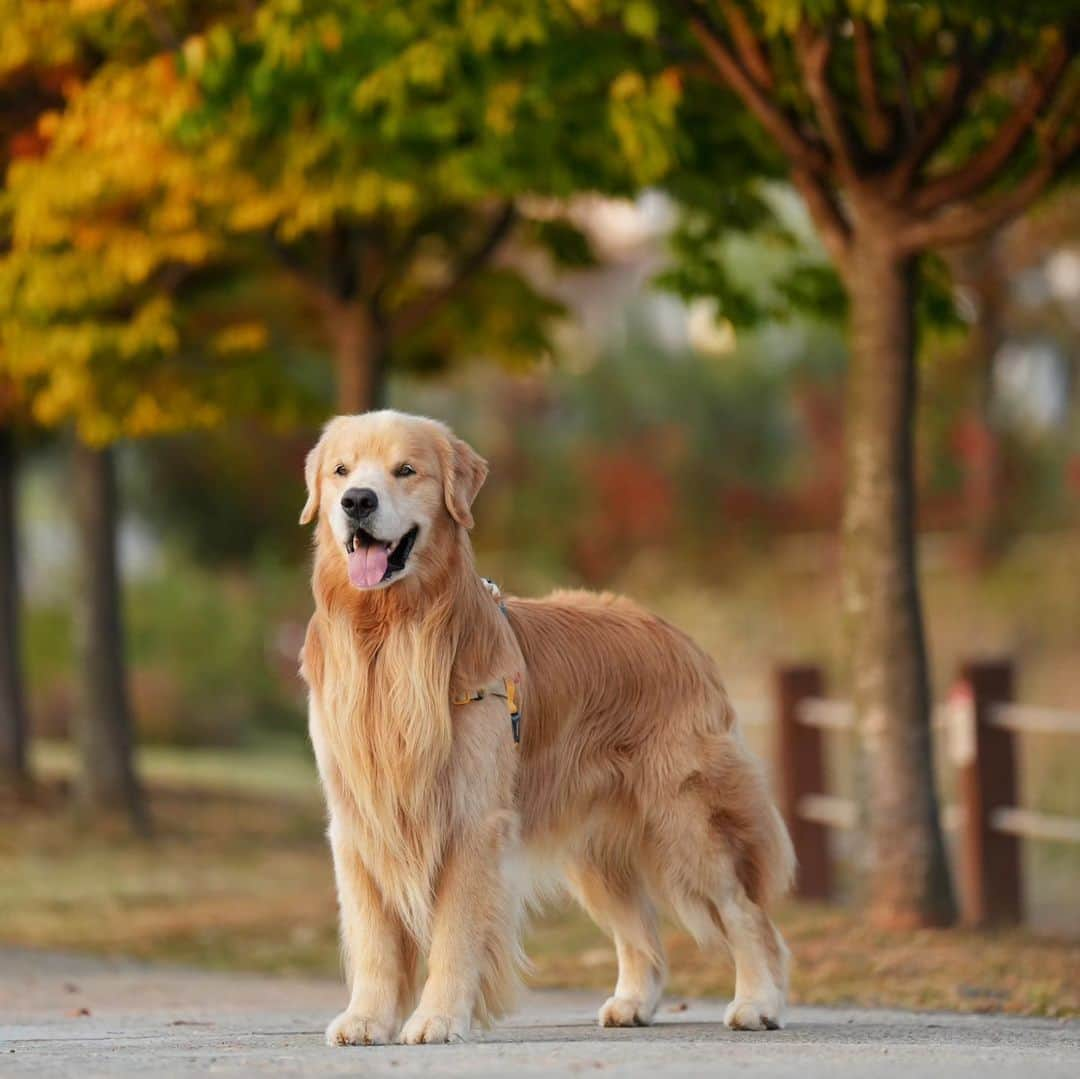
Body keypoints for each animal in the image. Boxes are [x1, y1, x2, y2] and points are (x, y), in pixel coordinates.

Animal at [302, 408, 794, 1041]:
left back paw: (758, 1003)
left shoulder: (471, 818)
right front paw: (365, 1017)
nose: (357, 501)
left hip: (686, 820)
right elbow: (373, 939)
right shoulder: (359, 819)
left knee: (746, 912)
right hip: (593, 846)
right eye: (340, 471)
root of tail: (679, 636)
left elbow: (454, 934)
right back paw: (633, 1002)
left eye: (405, 470)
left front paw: (438, 1017)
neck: (389, 634)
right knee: (642, 931)